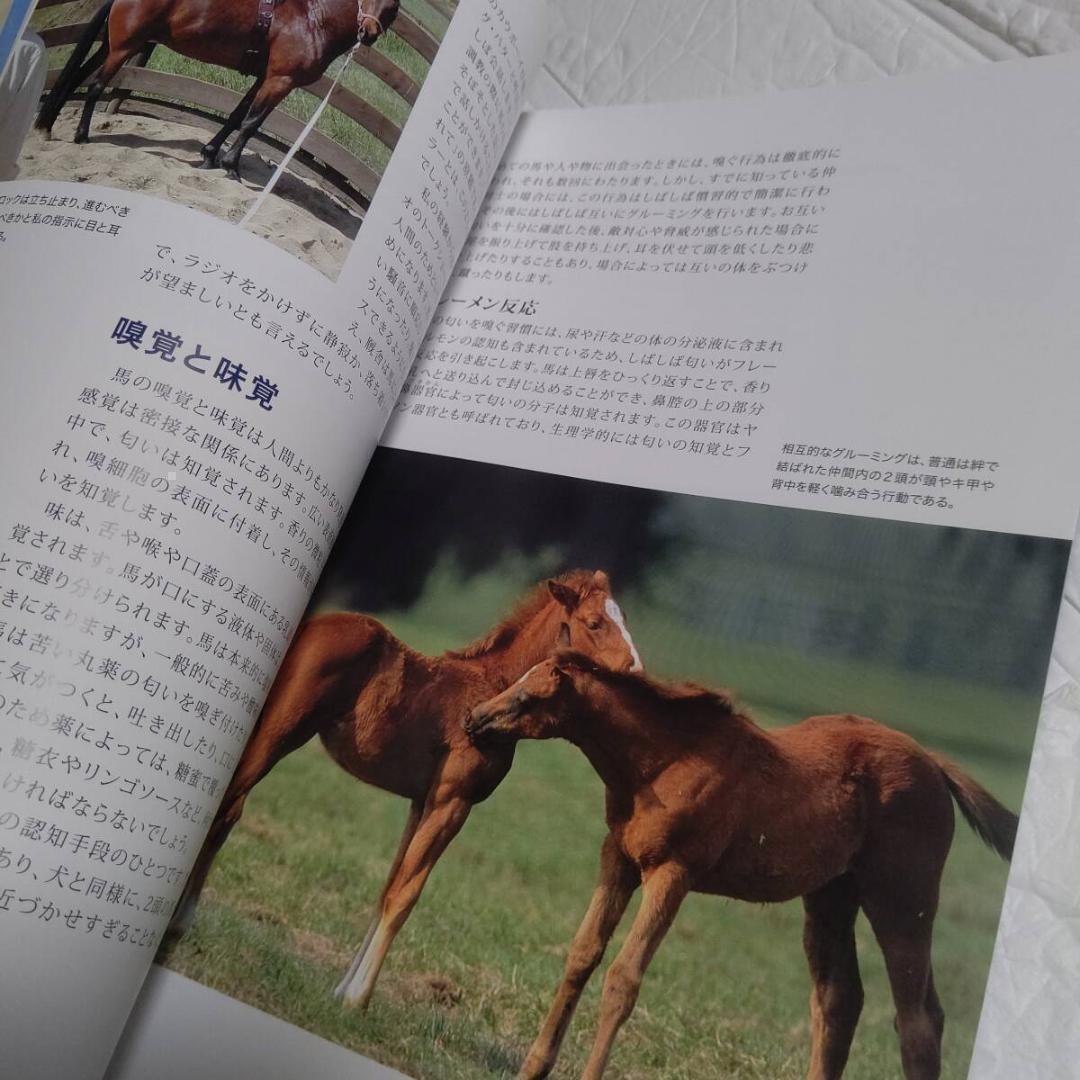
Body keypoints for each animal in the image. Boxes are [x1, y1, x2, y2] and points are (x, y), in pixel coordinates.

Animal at [35, 0, 399, 178]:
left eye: (393, 7)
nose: (368, 33)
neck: (313, 19)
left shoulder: (264, 77)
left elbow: (236, 117)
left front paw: (210, 155)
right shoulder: (281, 80)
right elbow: (251, 124)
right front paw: (231, 166)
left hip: (113, 44)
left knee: (77, 77)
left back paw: (47, 126)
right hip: (123, 47)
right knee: (96, 85)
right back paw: (82, 135)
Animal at [168, 571, 642, 1011]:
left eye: (623, 617)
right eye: (595, 622)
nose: (636, 673)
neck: (493, 686)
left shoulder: (420, 802)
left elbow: (387, 888)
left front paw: (340, 991)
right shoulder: (452, 802)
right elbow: (405, 895)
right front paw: (358, 999)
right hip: (279, 732)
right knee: (227, 807)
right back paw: (177, 924)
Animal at [465, 652, 1018, 1080]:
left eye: (528, 696)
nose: (473, 719)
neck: (663, 762)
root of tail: (934, 762)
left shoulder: (673, 873)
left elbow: (624, 979)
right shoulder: (618, 857)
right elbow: (582, 954)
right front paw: (532, 1067)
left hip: (903, 899)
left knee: (919, 1020)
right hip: (832, 897)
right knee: (839, 1002)